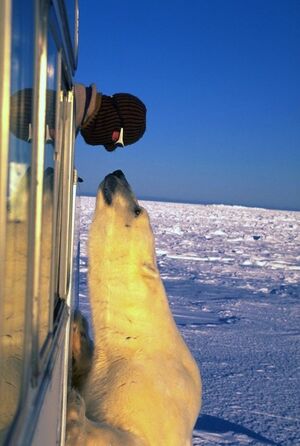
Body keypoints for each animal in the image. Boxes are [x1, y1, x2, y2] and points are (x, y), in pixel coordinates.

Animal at [67, 170, 200, 446]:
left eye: (137, 210)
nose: (118, 172)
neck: (136, 340)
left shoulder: (150, 393)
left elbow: (131, 436)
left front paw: (75, 413)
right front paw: (77, 330)